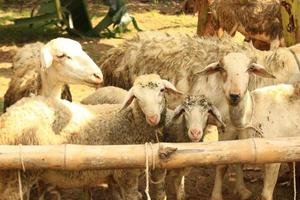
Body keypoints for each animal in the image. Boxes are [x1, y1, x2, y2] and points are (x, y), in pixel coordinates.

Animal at [0, 74, 182, 200]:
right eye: (136, 97)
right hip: (21, 172)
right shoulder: (126, 174)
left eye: (161, 91)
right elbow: (133, 196)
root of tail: (9, 116)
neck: (130, 122)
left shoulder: (114, 176)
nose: (153, 118)